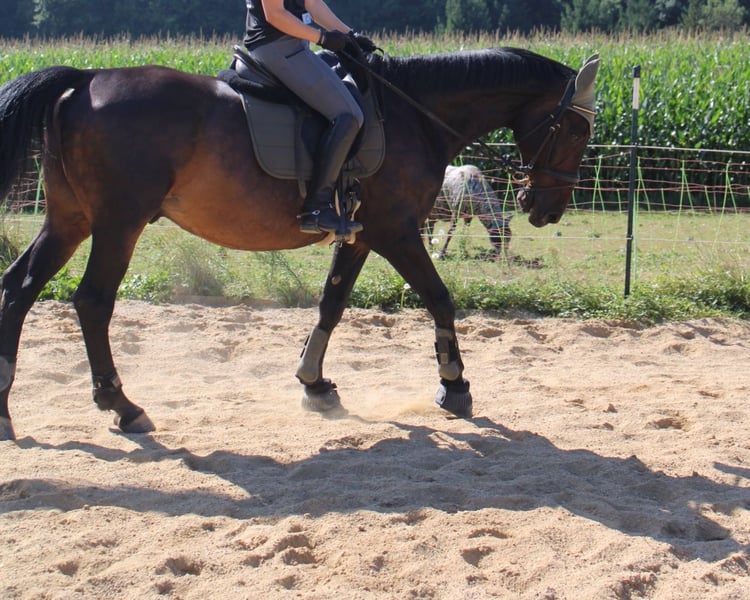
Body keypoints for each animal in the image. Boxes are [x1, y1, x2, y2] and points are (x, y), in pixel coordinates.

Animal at [0, 47, 599, 440]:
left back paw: (7, 412)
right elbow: (439, 298)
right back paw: (123, 406)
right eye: (575, 130)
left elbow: (331, 304)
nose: (547, 209)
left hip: (70, 220)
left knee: (18, 289)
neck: (414, 113)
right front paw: (454, 386)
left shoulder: (360, 235)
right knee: (91, 302)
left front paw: (314, 385)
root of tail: (85, 79)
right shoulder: (398, 231)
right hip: (119, 222)